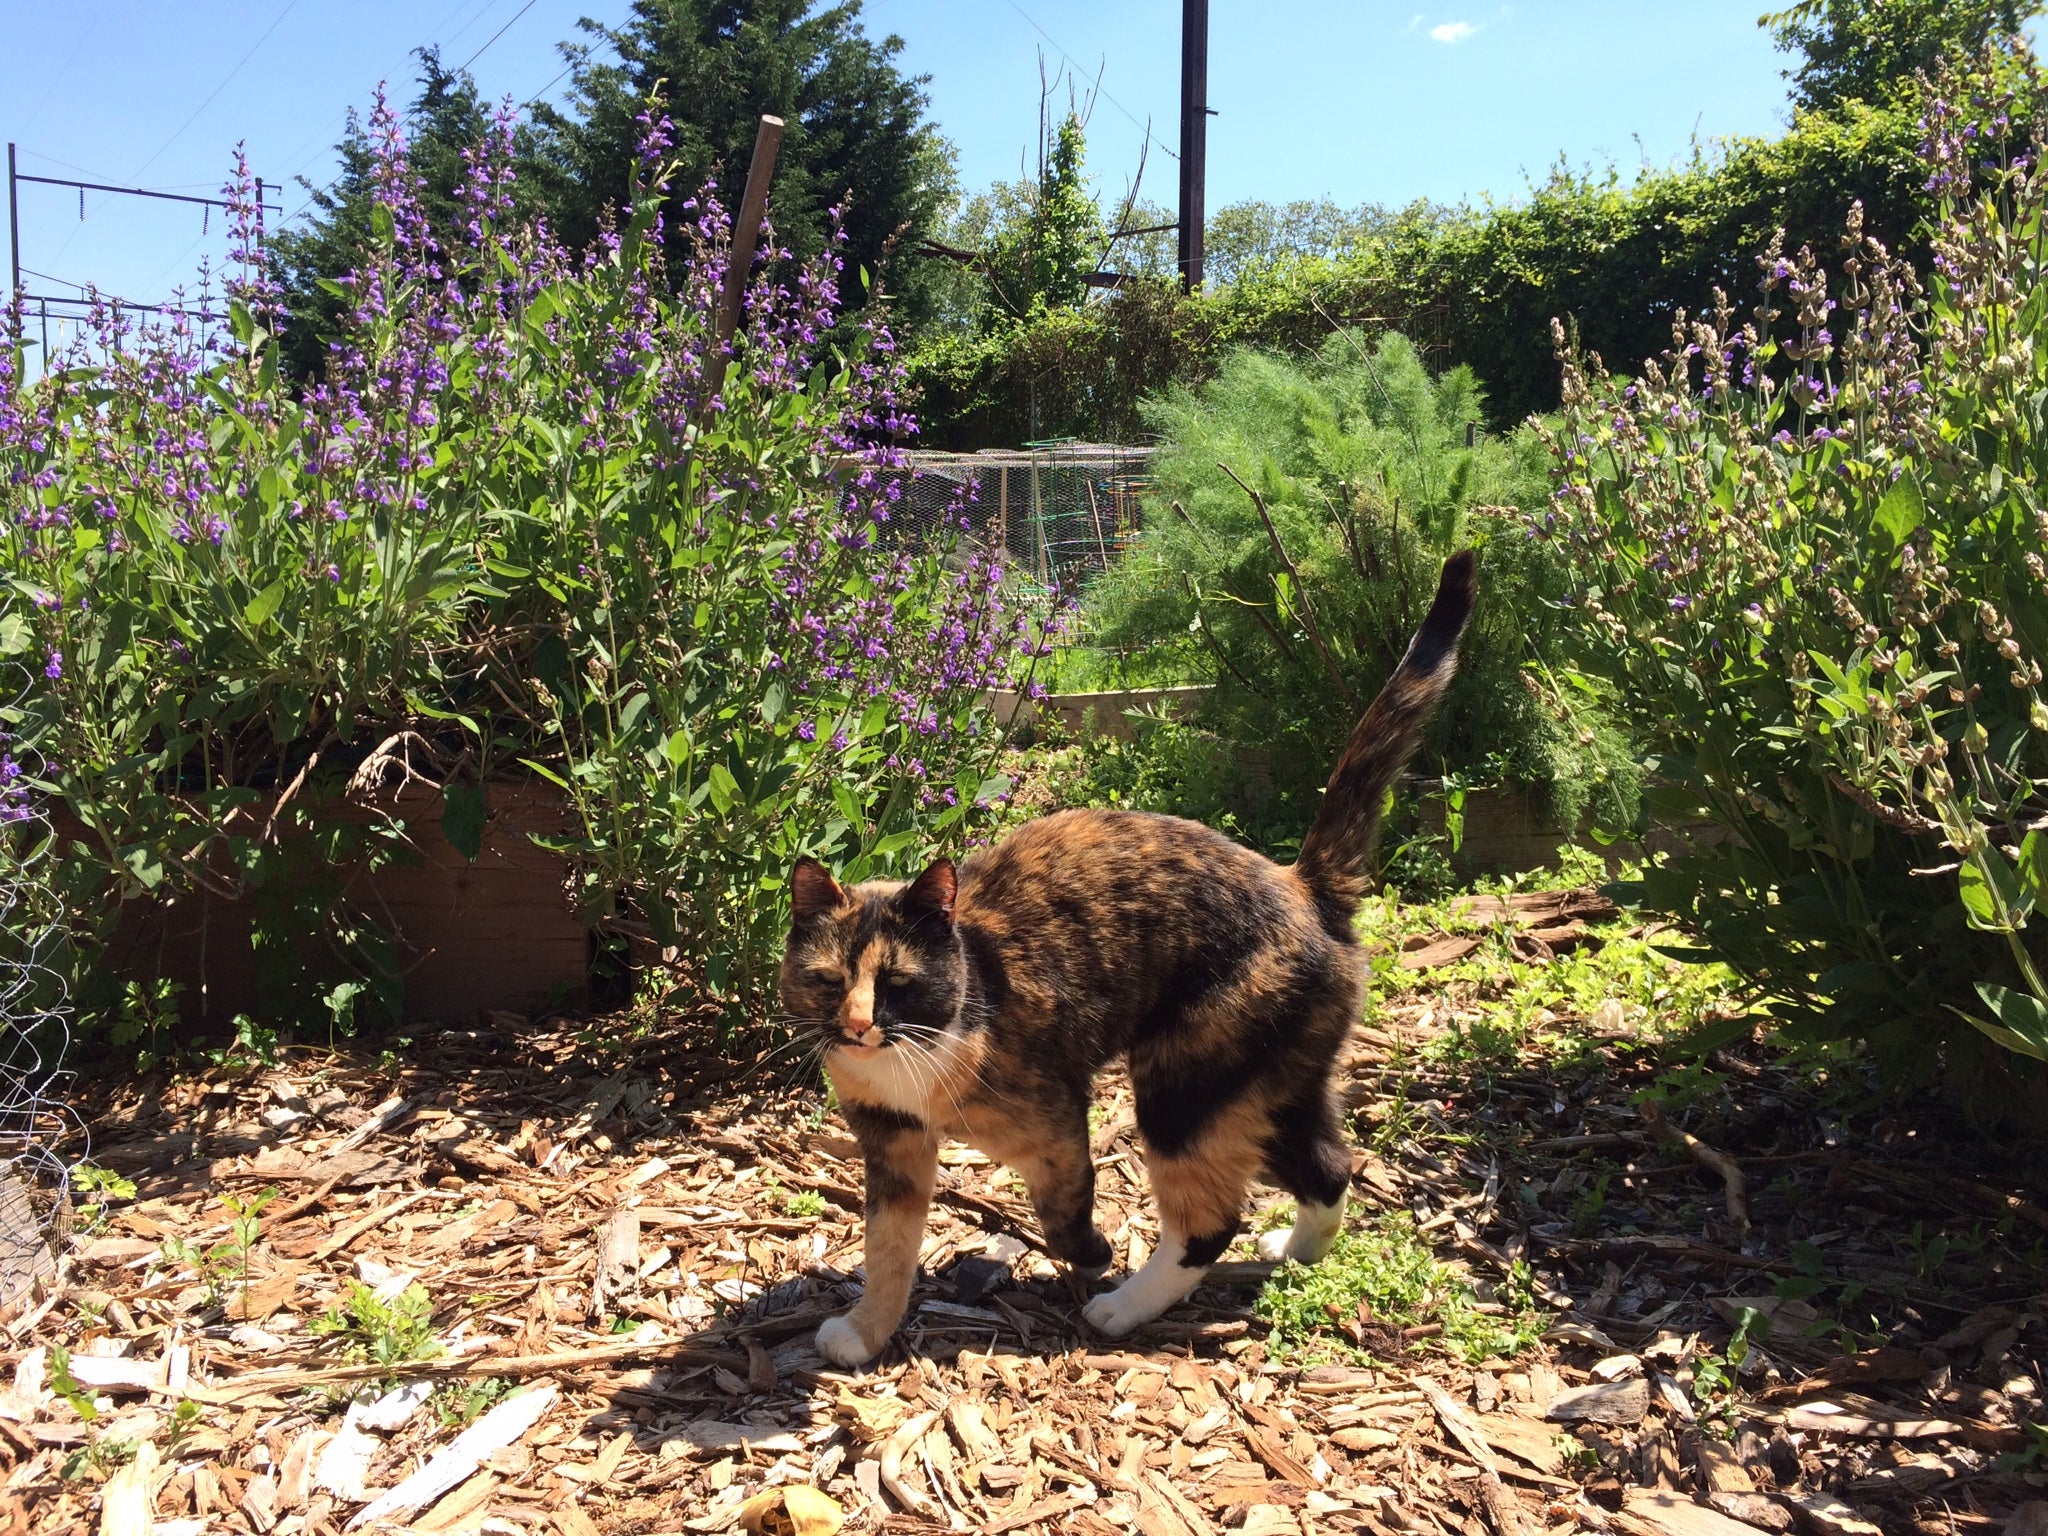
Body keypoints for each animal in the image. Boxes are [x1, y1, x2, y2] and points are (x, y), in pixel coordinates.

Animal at [778, 548, 1474, 1368]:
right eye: (827, 981)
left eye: (897, 982)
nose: (856, 1027)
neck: (925, 1055)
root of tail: (1303, 884)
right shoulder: (891, 1150)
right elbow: (887, 1250)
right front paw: (864, 1331)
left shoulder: (1056, 1122)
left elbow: (1063, 1205)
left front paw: (1091, 1254)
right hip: (1270, 1084)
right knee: (1332, 1166)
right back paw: (1295, 1252)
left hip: (1184, 1088)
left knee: (1212, 1222)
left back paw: (1123, 1306)